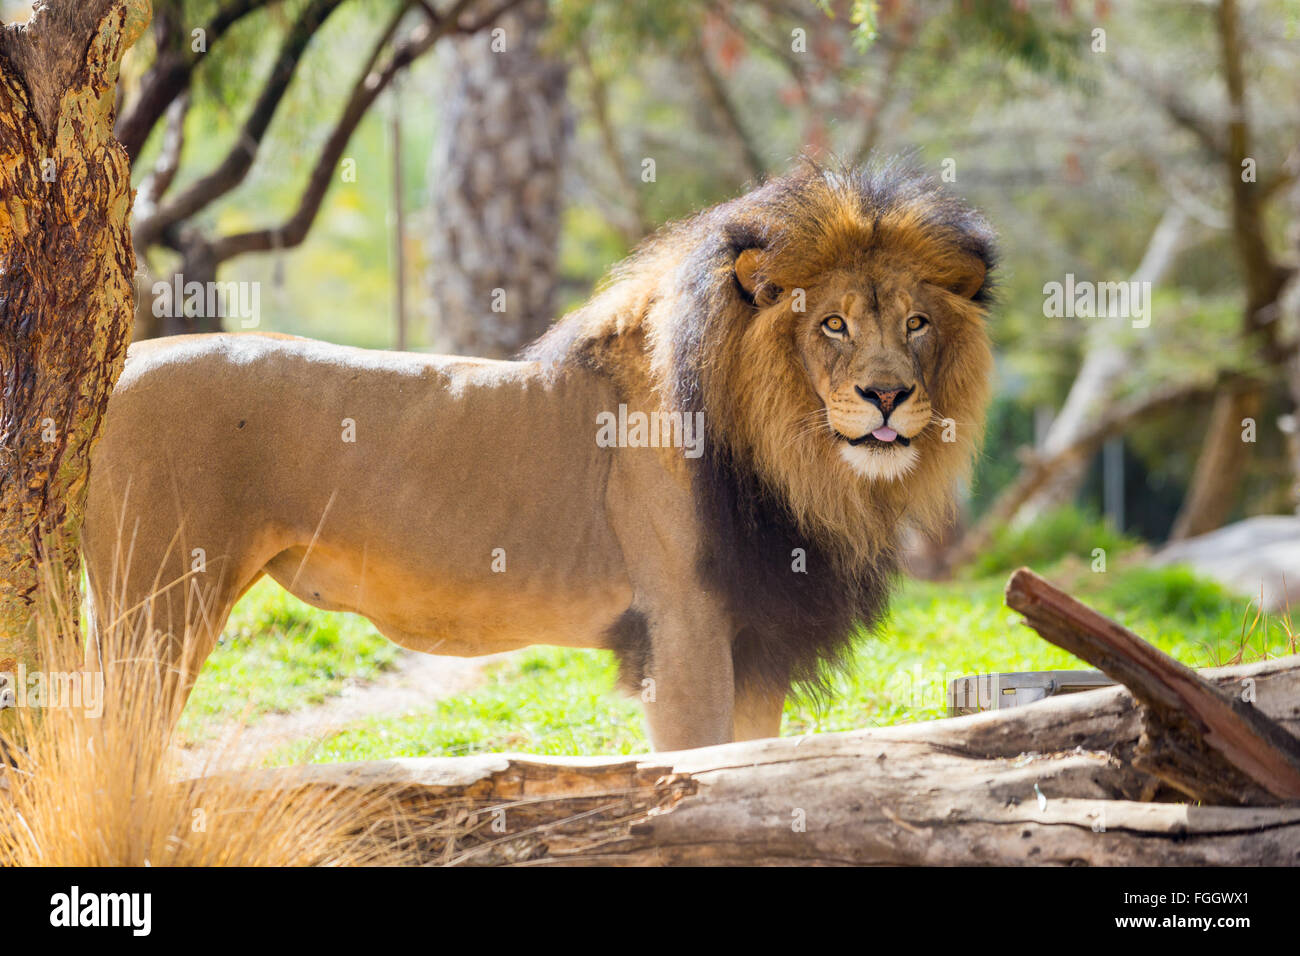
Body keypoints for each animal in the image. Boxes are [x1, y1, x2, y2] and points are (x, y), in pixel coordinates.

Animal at [82, 159, 996, 751]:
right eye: (833, 324)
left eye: (916, 322)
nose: (888, 397)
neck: (799, 462)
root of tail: (119, 370)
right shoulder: (683, 633)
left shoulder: (757, 642)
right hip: (157, 605)